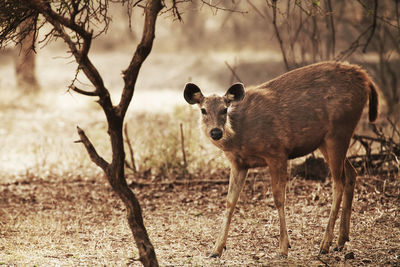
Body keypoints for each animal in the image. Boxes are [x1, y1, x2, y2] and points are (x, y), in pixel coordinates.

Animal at [183, 61, 376, 260]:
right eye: (203, 110)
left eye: (224, 109)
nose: (216, 132)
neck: (240, 134)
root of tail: (366, 79)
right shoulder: (239, 163)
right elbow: (230, 202)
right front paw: (216, 249)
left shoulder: (277, 152)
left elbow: (278, 199)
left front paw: (283, 248)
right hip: (325, 140)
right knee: (352, 173)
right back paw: (341, 241)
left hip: (339, 131)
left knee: (339, 182)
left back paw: (325, 245)